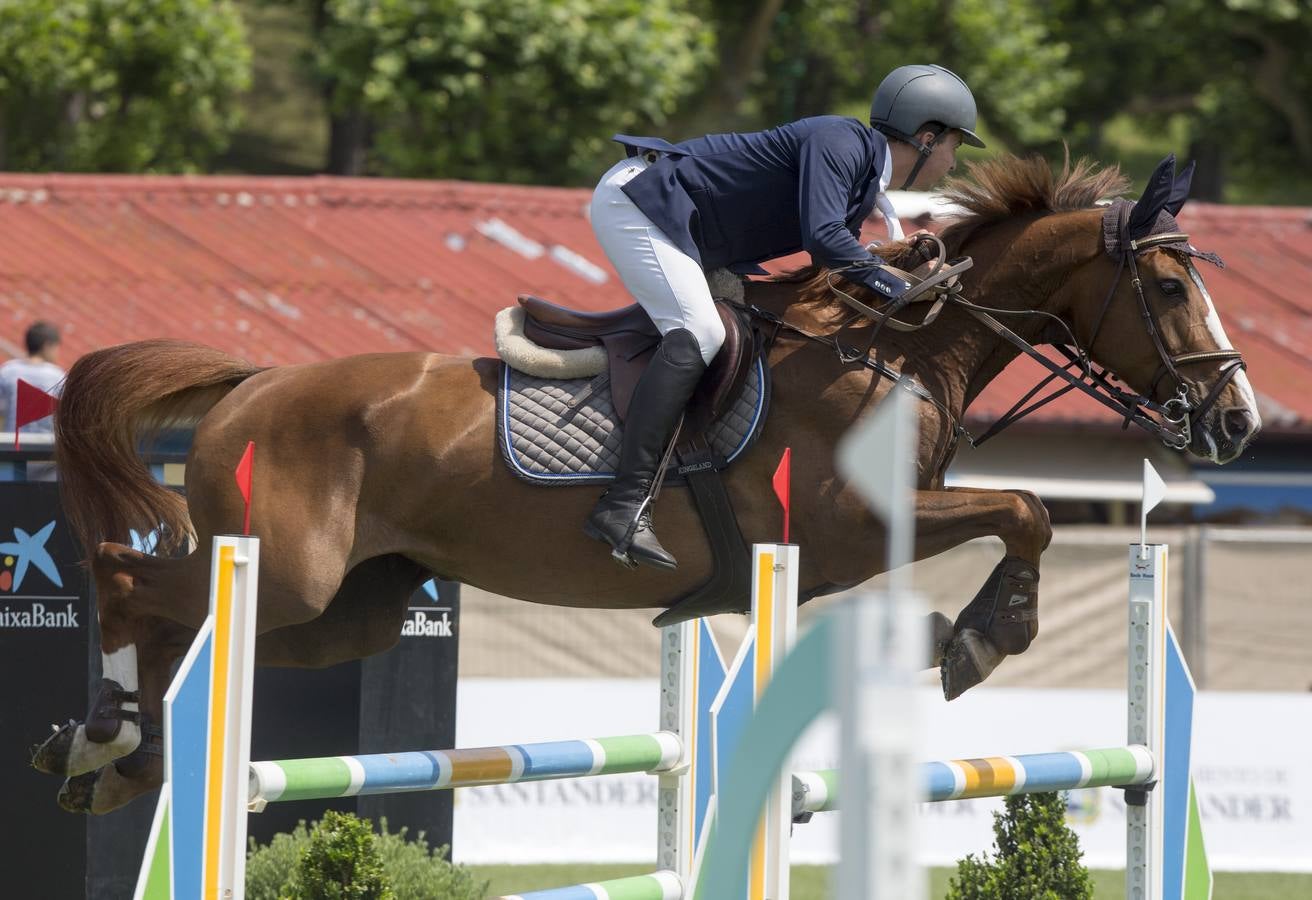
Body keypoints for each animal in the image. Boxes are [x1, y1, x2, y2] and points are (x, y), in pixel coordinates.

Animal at [33, 151, 1259, 813]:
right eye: (1165, 286)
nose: (1237, 420)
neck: (895, 349)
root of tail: (254, 381)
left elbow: (1021, 513)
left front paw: (962, 635)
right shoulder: (850, 526)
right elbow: (1028, 511)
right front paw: (983, 636)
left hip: (348, 610)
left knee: (194, 633)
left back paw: (128, 758)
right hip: (285, 572)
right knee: (134, 580)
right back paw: (99, 734)